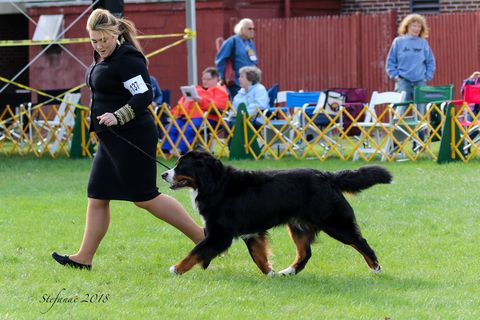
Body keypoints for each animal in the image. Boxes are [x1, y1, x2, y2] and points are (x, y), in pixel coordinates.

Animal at [163, 150, 392, 276]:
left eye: (181, 166)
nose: (164, 174)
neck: (216, 184)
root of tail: (327, 176)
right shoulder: (252, 233)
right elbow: (259, 256)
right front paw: (270, 273)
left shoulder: (220, 234)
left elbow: (196, 251)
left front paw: (176, 269)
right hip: (298, 226)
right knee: (305, 253)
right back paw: (287, 272)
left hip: (335, 223)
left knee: (360, 242)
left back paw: (375, 267)